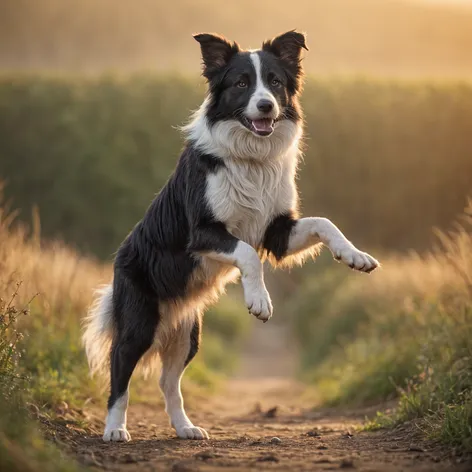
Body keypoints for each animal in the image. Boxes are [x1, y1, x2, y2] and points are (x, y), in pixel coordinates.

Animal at [84, 29, 380, 442]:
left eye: (274, 82)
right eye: (241, 83)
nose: (266, 106)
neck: (252, 157)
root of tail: (118, 259)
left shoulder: (277, 232)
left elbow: (324, 223)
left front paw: (355, 256)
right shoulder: (204, 232)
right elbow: (247, 255)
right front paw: (260, 301)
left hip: (188, 334)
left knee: (168, 382)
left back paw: (185, 428)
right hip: (139, 321)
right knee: (119, 371)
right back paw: (115, 429)